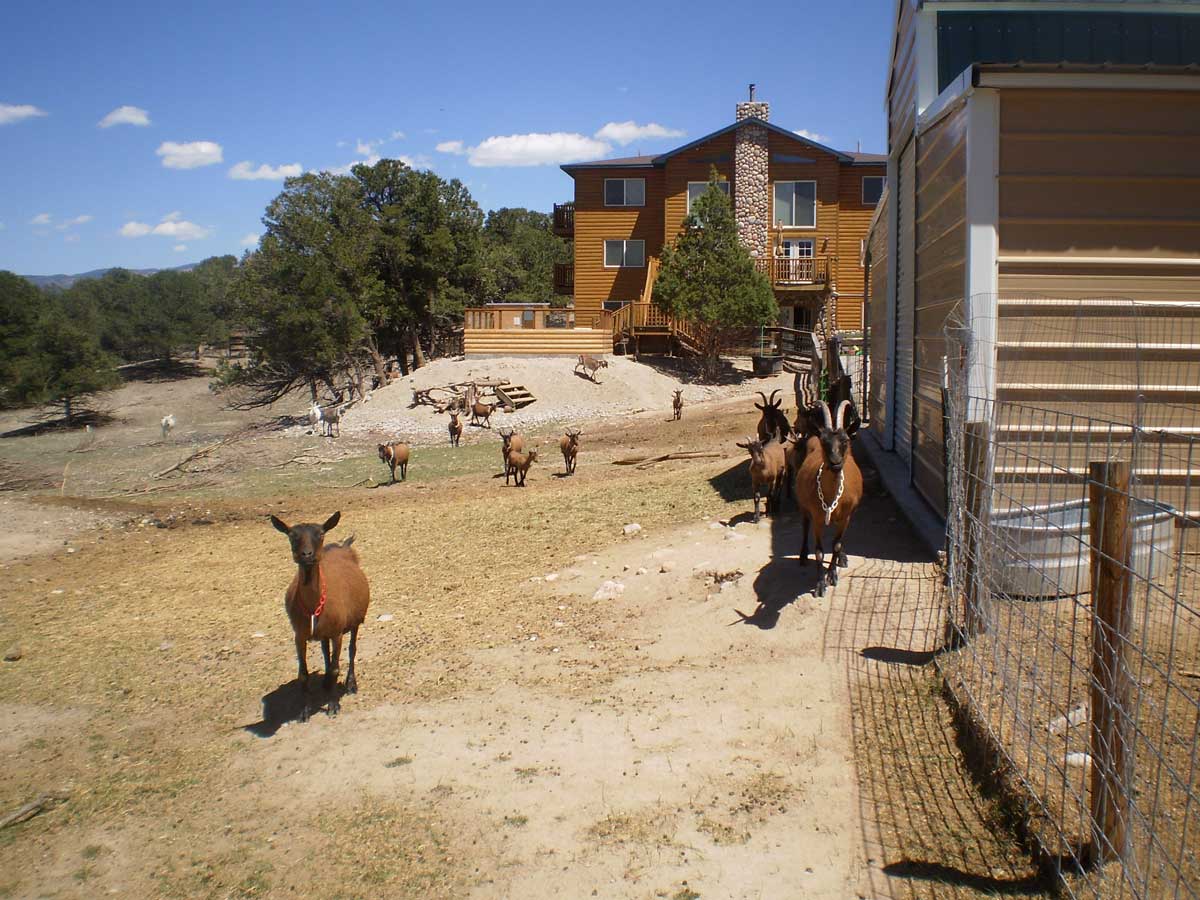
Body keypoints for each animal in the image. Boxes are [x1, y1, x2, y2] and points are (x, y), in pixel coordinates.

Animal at [269, 511, 370, 719]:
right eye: (292, 535)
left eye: (321, 534)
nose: (307, 555)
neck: (312, 607)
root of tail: (343, 547)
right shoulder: (299, 636)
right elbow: (303, 674)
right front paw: (305, 710)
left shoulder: (337, 633)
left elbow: (335, 668)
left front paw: (333, 706)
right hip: (323, 632)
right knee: (325, 650)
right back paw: (325, 683)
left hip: (354, 622)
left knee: (352, 649)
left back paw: (350, 684)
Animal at [794, 400, 863, 597]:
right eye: (824, 441)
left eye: (845, 441)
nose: (835, 462)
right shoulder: (818, 518)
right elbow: (819, 552)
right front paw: (820, 585)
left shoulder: (846, 517)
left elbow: (837, 544)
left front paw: (832, 575)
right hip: (803, 506)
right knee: (804, 525)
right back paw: (803, 555)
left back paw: (842, 558)